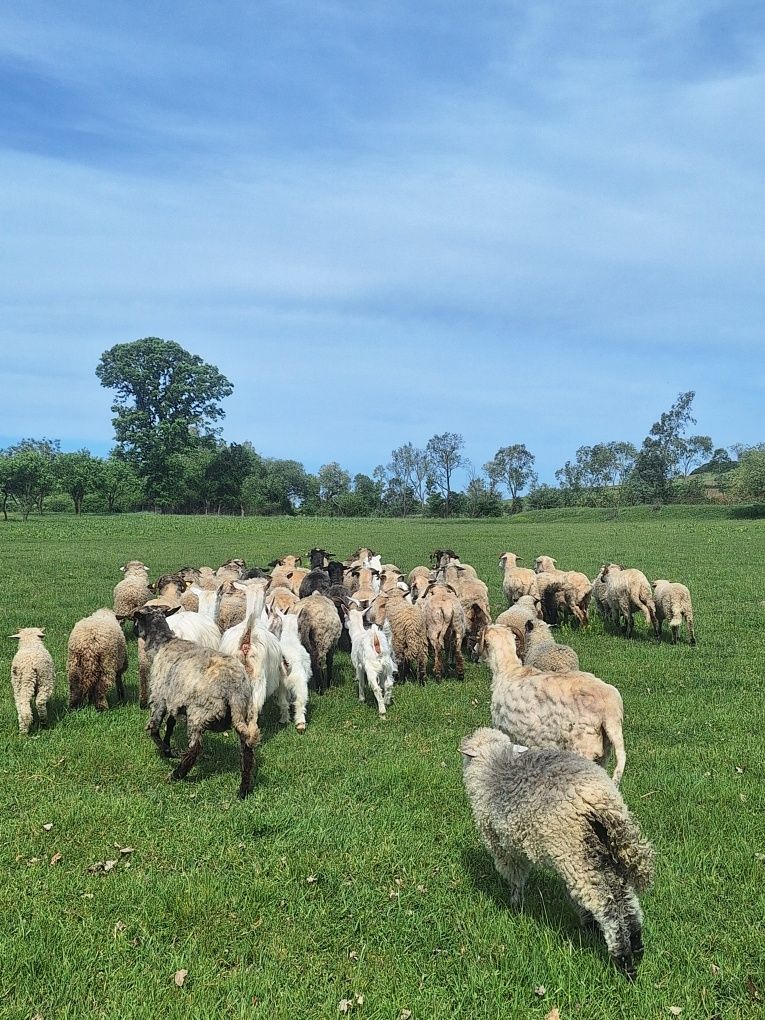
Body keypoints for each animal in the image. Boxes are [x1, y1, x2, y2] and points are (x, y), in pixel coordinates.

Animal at [133, 603, 263, 795]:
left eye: (136, 619)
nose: (134, 631)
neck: (163, 643)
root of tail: (235, 689)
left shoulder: (159, 696)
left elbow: (154, 728)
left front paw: (167, 750)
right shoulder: (176, 698)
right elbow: (170, 724)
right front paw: (168, 748)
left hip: (200, 712)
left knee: (195, 749)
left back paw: (177, 774)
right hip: (244, 714)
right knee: (247, 750)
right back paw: (243, 790)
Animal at [459, 726, 656, 979]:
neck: (495, 764)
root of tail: (595, 797)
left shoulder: (504, 847)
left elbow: (516, 877)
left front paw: (515, 905)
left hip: (574, 852)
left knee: (607, 906)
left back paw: (623, 959)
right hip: (602, 848)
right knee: (625, 895)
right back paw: (636, 944)